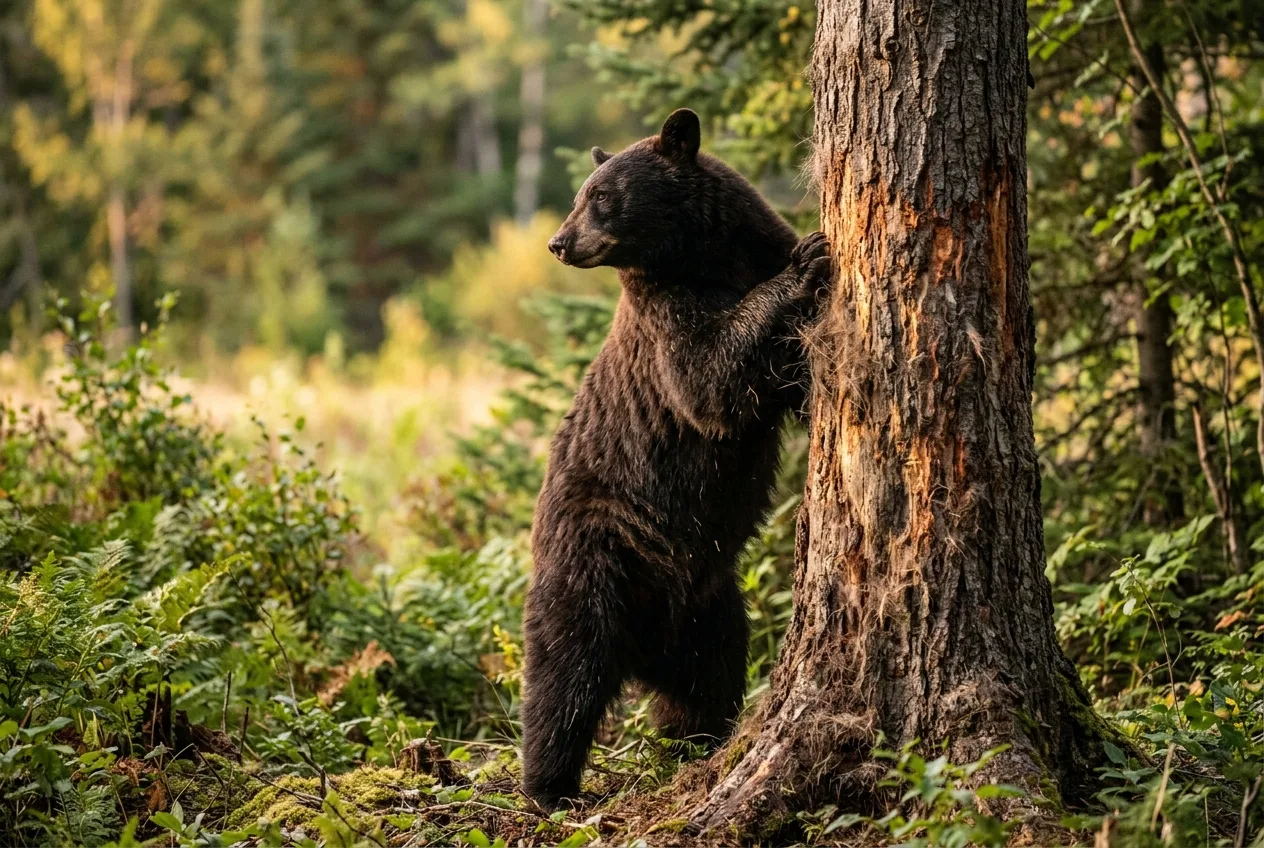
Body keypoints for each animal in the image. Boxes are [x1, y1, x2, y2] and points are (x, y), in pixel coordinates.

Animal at [521, 108, 832, 809]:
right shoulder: (664, 310)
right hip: (593, 553)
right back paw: (551, 787)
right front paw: (807, 264)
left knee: (709, 678)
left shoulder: (745, 247)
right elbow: (707, 378)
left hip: (709, 606)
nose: (558, 242)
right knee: (564, 671)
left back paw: (696, 746)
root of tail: (645, 647)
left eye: (600, 195)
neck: (701, 254)